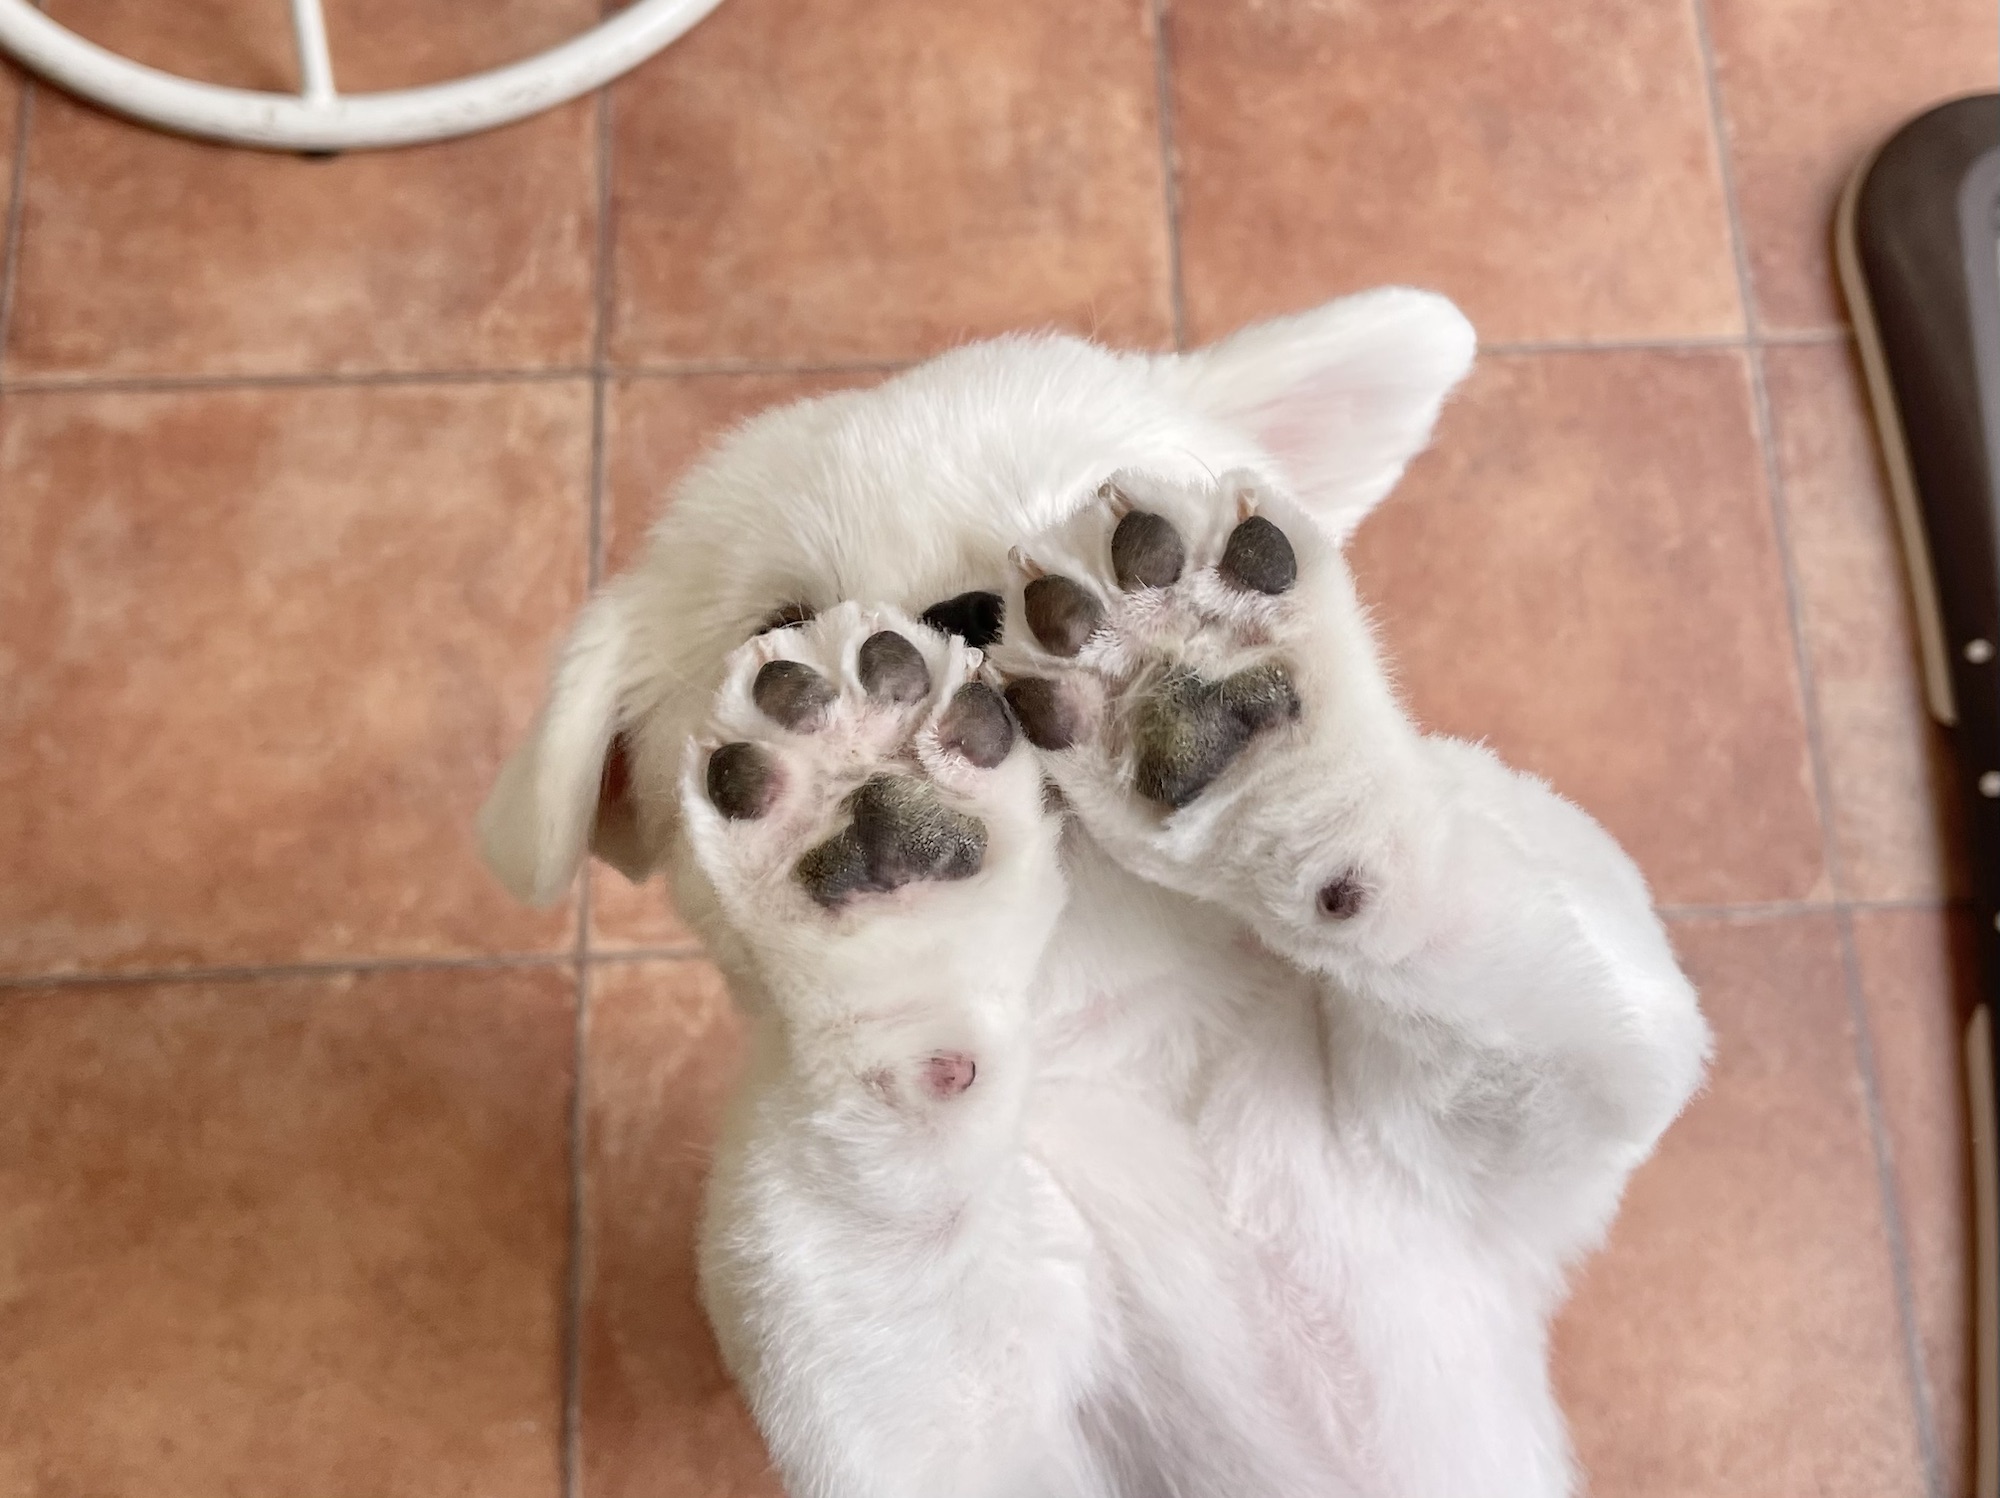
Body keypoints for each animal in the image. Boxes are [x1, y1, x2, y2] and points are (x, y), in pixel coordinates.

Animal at [478, 288, 1712, 1497]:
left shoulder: (1545, 1106)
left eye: (1075, 510)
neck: (1142, 1033)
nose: (967, 615)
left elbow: (1430, 905)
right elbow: (899, 1143)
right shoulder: (915, 1399)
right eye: (781, 626)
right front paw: (889, 900)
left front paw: (1223, 704)